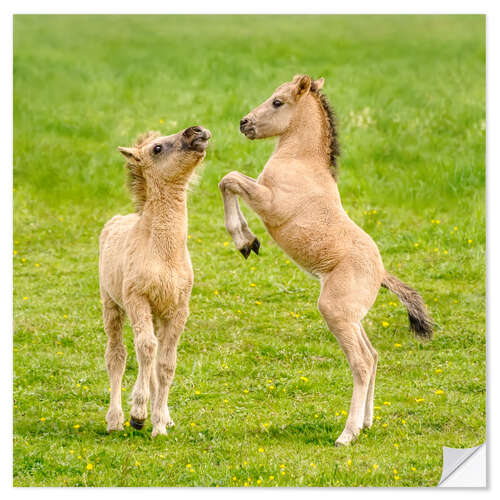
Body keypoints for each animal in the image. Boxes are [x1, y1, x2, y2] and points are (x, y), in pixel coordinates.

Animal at [99, 126, 211, 438]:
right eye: (157, 148)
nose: (197, 132)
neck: (163, 253)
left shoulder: (178, 309)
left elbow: (165, 363)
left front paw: (159, 424)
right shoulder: (138, 299)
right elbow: (145, 348)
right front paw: (138, 414)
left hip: (158, 314)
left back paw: (163, 417)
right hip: (112, 305)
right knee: (117, 355)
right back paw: (115, 419)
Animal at [219, 75, 434, 446]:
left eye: (277, 102)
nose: (244, 123)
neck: (301, 162)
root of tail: (381, 273)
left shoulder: (270, 202)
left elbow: (229, 179)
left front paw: (245, 240)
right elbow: (228, 181)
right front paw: (248, 242)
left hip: (334, 311)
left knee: (361, 363)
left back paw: (347, 434)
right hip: (351, 316)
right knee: (373, 355)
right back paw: (366, 423)